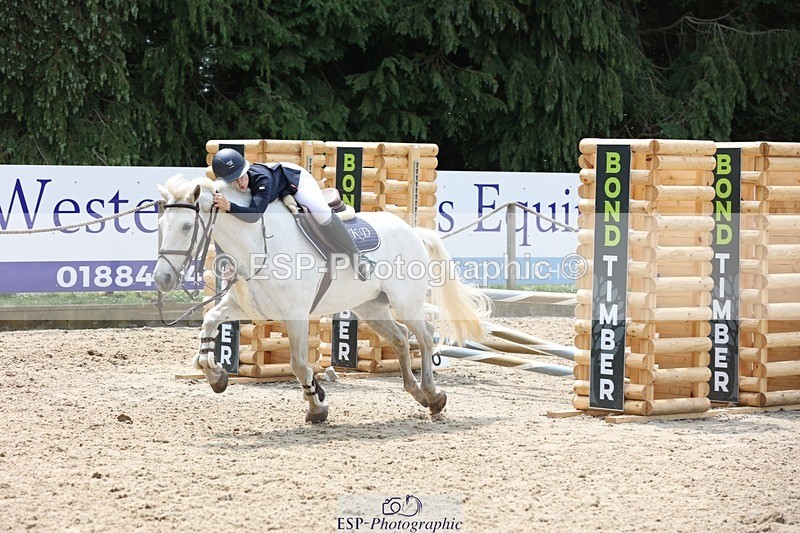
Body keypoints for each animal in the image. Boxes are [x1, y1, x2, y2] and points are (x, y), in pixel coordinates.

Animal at [153, 174, 489, 423]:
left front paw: (317, 406)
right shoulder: (243, 307)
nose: (161, 279)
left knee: (426, 335)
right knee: (400, 337)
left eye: (187, 226)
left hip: (405, 302)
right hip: (370, 306)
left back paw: (433, 395)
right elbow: (209, 324)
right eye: (160, 226)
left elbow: (299, 365)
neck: (257, 243)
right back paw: (417, 393)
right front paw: (215, 375)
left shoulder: (296, 315)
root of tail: (412, 231)